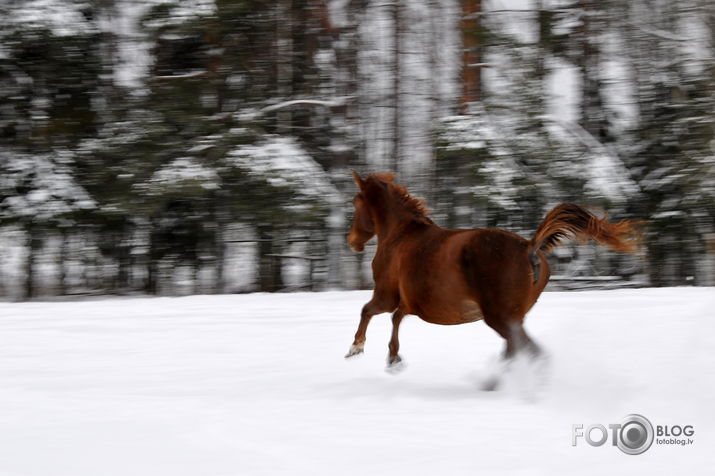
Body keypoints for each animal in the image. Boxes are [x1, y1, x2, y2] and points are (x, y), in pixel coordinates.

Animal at [344, 171, 640, 372]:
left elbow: (368, 311)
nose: (352, 241)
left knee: (527, 350)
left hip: (500, 318)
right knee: (519, 350)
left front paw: (356, 348)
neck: (400, 235)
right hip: (512, 319)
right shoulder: (409, 302)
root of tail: (530, 247)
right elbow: (396, 318)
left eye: (355, 202)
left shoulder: (386, 294)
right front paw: (393, 357)